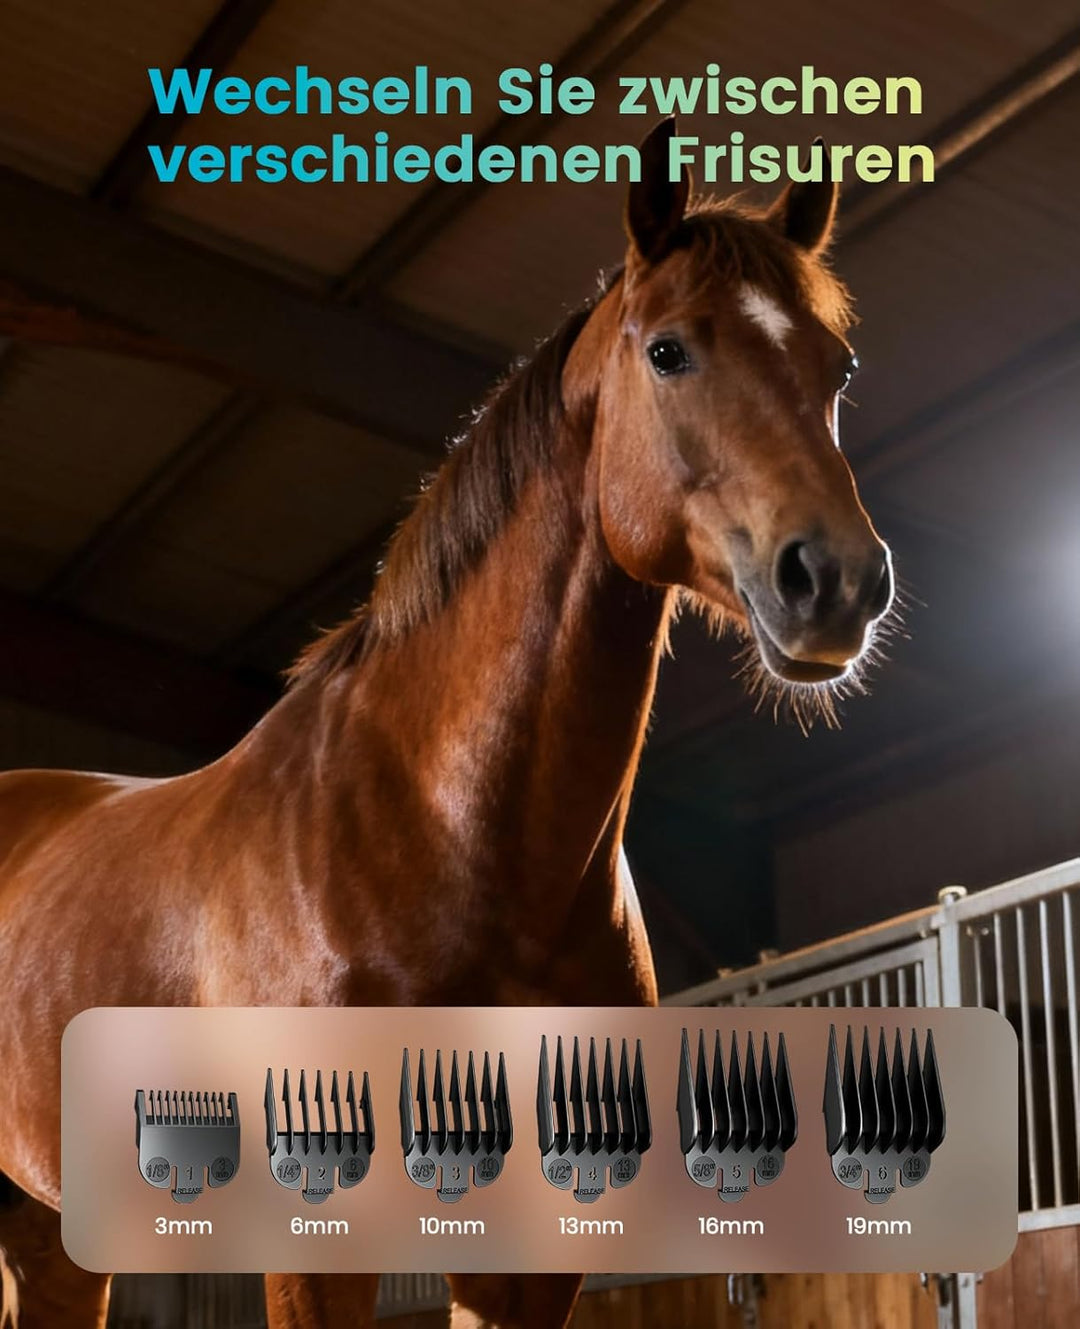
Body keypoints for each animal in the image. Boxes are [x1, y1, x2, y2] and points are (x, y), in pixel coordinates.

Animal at [0, 119, 893, 1329]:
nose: (834, 581)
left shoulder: (532, 1259)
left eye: (836, 369)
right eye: (668, 351)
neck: (448, 830)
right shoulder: (318, 1246)